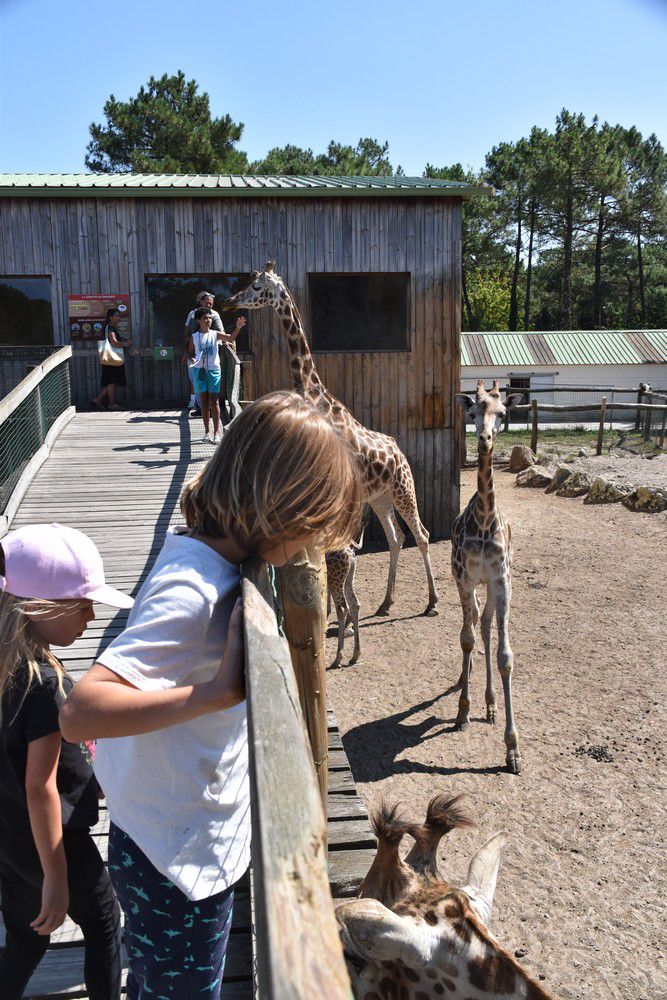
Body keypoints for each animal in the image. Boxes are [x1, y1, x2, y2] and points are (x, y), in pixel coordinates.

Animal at [227, 258, 440, 616]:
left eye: (256, 287)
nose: (231, 301)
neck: (315, 396)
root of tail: (400, 453)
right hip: (380, 497)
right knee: (396, 538)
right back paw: (385, 603)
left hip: (403, 489)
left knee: (422, 535)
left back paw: (432, 602)